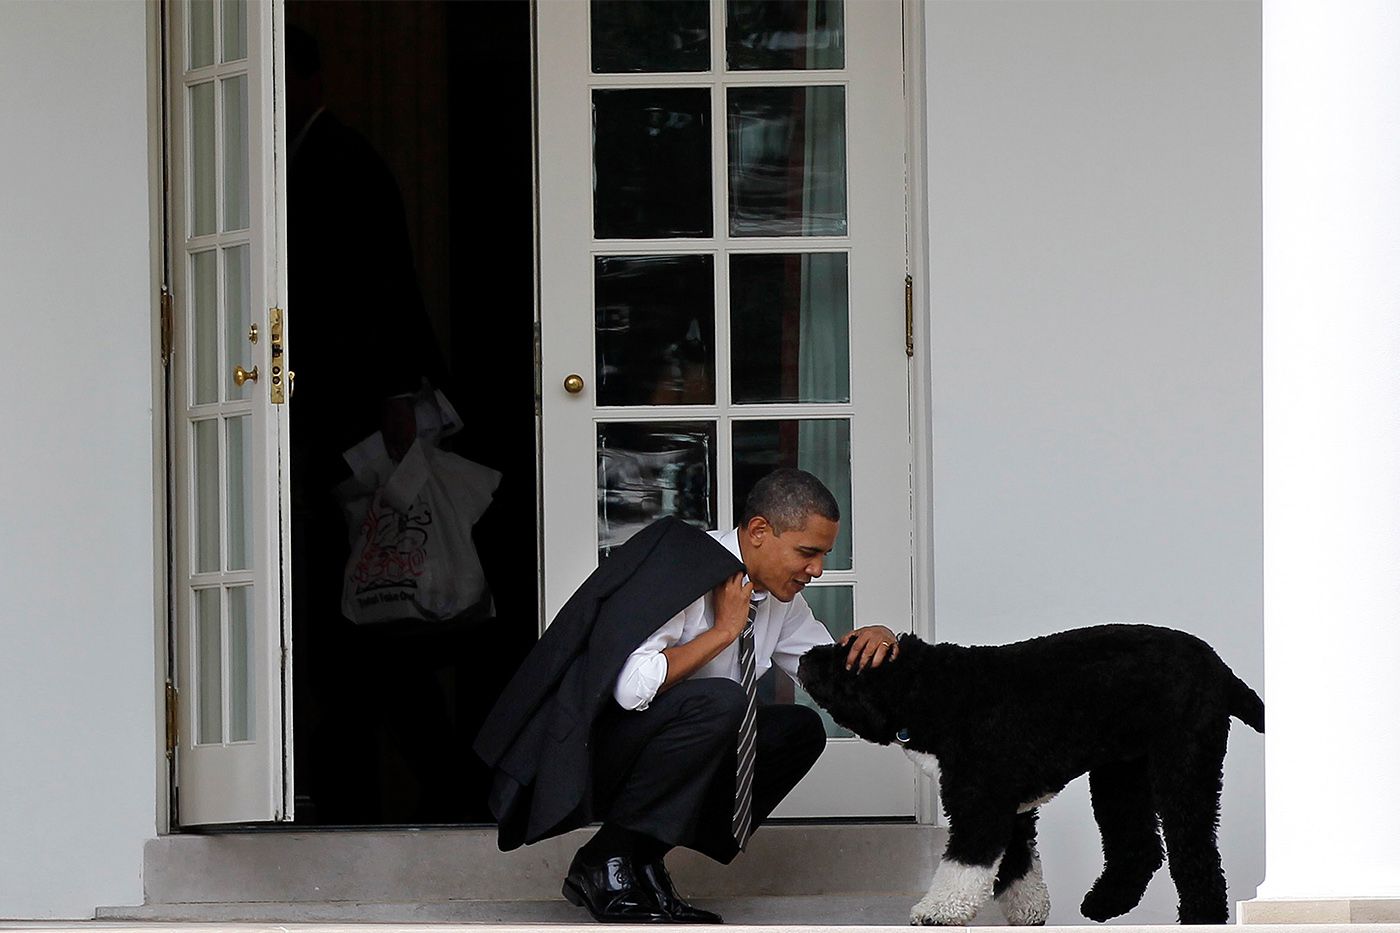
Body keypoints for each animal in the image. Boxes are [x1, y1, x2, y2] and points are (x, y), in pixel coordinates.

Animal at [800, 622, 1271, 918]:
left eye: (845, 656)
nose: (804, 656)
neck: (934, 690)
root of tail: (1221, 668)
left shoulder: (981, 806)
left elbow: (963, 866)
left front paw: (936, 911)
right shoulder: (1012, 810)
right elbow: (1018, 865)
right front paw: (1030, 910)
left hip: (1184, 767)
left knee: (1196, 856)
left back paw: (1200, 915)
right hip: (1121, 774)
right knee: (1139, 849)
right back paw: (1103, 905)